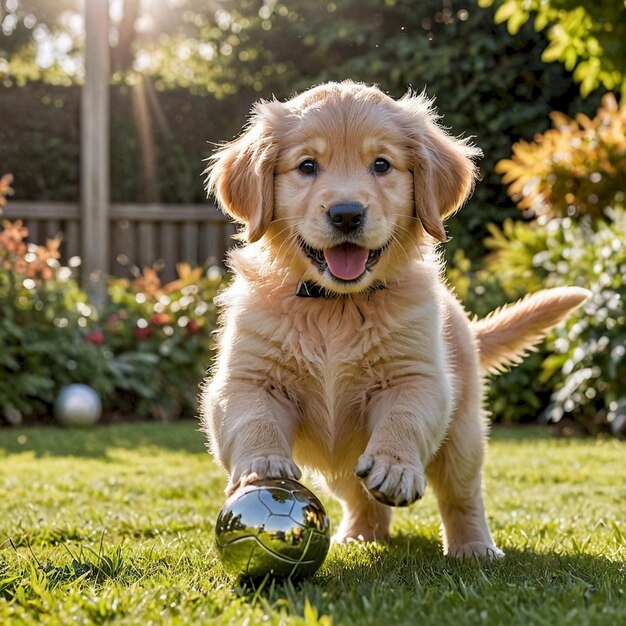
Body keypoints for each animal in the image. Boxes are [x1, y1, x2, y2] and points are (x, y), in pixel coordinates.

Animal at [199, 79, 584, 556]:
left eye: (381, 164)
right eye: (307, 166)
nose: (346, 214)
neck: (336, 307)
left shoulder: (417, 376)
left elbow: (404, 418)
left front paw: (396, 467)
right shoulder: (246, 379)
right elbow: (253, 419)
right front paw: (262, 462)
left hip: (463, 435)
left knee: (462, 494)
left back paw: (473, 546)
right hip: (344, 466)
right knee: (360, 497)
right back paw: (360, 535)